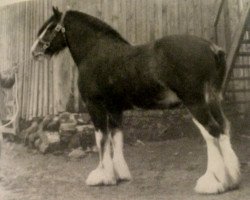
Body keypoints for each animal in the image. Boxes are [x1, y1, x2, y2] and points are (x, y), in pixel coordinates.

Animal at [31, 7, 240, 193]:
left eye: (50, 28)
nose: (34, 52)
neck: (95, 51)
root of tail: (212, 48)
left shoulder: (95, 106)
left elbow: (101, 139)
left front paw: (102, 176)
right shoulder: (114, 109)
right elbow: (116, 138)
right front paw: (120, 175)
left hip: (195, 103)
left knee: (212, 131)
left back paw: (212, 183)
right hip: (212, 100)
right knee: (223, 128)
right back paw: (231, 180)